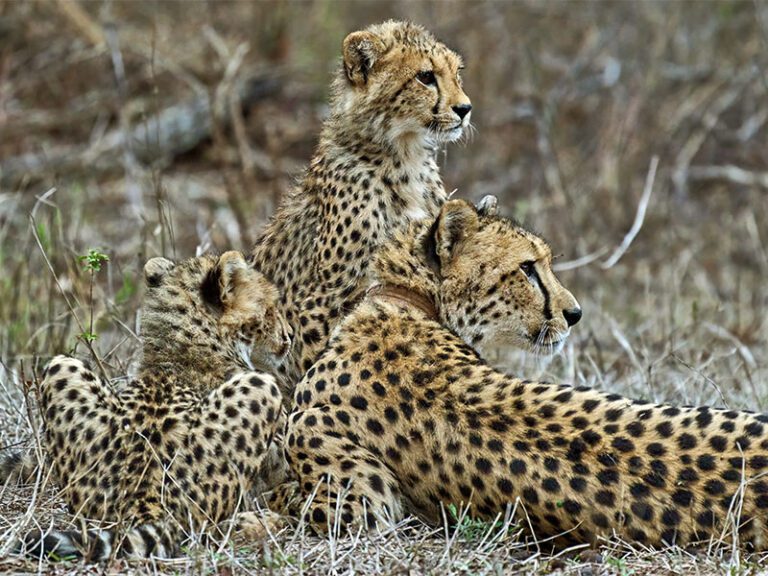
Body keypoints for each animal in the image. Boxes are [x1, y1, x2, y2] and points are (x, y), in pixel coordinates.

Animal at [16, 251, 291, 561]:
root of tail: (143, 499)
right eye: (270, 309)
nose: (289, 336)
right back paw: (261, 523)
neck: (186, 345)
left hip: (60, 366)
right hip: (262, 386)